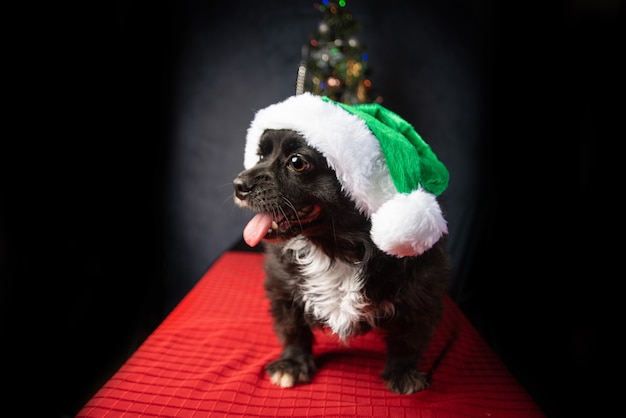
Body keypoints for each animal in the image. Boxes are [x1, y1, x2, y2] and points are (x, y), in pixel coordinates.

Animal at [232, 93, 446, 394]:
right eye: (261, 155)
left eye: (297, 162)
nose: (238, 185)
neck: (335, 248)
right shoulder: (283, 289)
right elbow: (293, 329)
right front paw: (293, 364)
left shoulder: (421, 294)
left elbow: (408, 340)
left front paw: (403, 372)